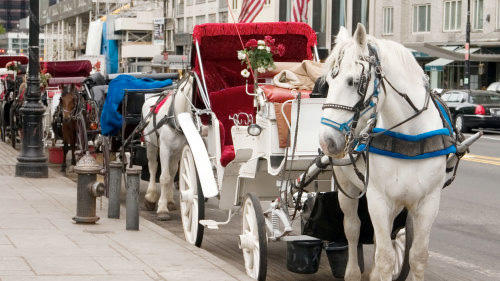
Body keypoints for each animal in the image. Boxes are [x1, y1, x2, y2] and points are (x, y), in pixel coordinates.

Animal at [143, 75, 193, 220]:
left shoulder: (178, 150)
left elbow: (172, 174)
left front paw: (167, 202)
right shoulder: (165, 148)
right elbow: (164, 177)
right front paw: (162, 209)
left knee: (172, 170)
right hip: (151, 144)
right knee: (153, 167)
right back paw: (150, 197)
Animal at [320, 24, 450, 280]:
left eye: (353, 81)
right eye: (328, 82)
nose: (326, 140)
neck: (410, 137)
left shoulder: (429, 201)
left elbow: (418, 256)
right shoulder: (378, 198)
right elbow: (385, 258)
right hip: (346, 186)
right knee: (352, 229)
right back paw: (352, 272)